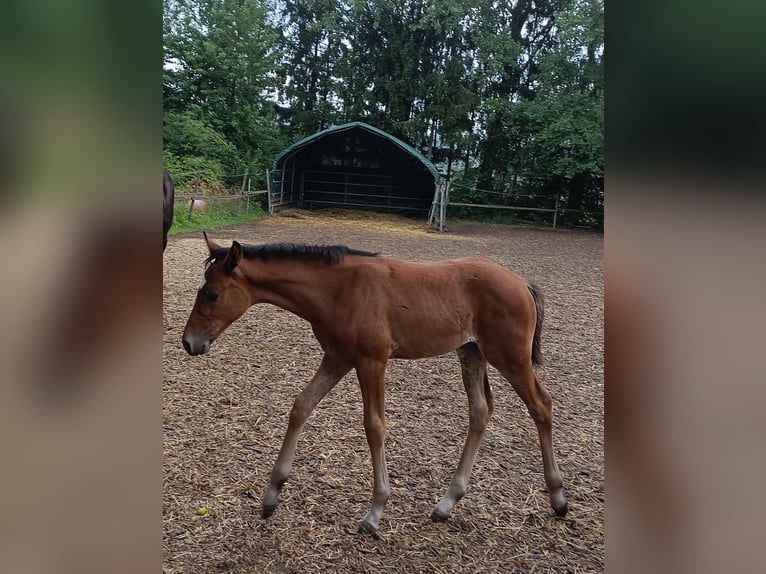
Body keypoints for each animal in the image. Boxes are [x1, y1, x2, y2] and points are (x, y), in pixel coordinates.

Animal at [182, 234, 568, 534]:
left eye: (212, 294)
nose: (188, 343)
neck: (338, 290)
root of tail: (522, 284)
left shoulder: (372, 362)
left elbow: (374, 427)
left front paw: (374, 512)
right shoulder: (337, 358)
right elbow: (301, 406)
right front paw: (271, 496)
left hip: (510, 358)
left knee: (541, 405)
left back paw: (559, 499)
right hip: (471, 353)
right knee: (480, 411)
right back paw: (446, 504)